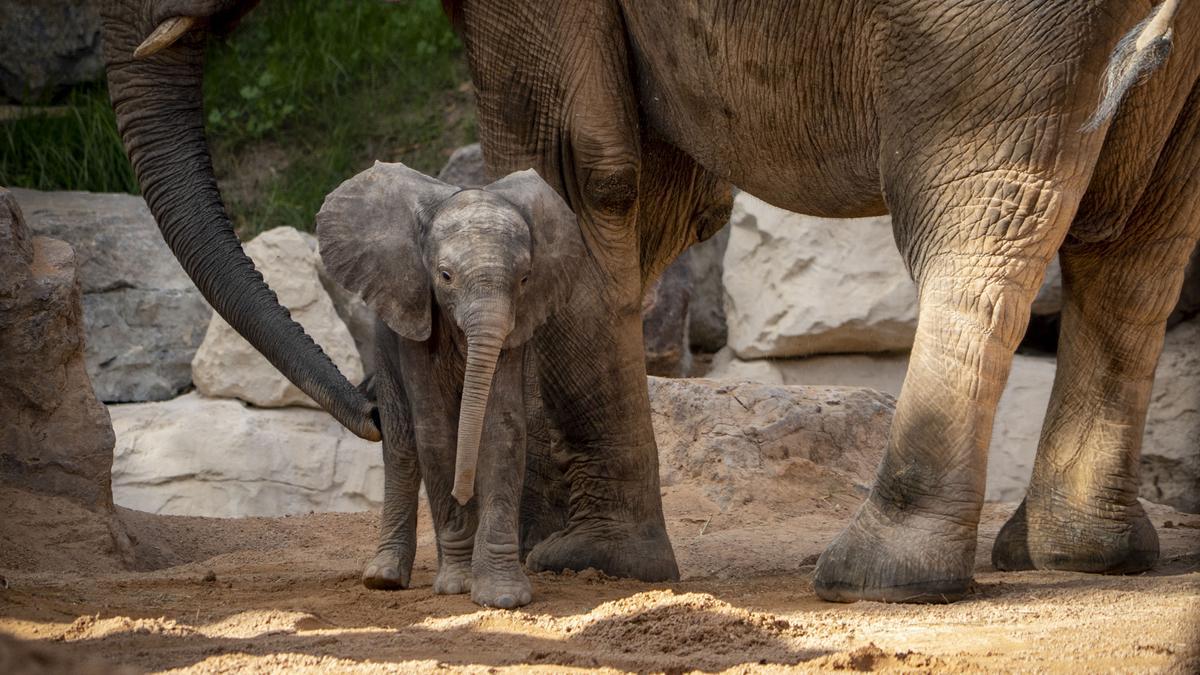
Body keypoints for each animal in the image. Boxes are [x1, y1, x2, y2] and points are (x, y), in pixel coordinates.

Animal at [316, 159, 583, 607]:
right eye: (444, 276)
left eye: (525, 280)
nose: (462, 493)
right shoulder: (414, 325)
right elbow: (436, 434)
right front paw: (457, 585)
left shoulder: (515, 332)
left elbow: (501, 430)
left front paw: (502, 596)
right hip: (385, 347)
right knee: (402, 448)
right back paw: (384, 578)